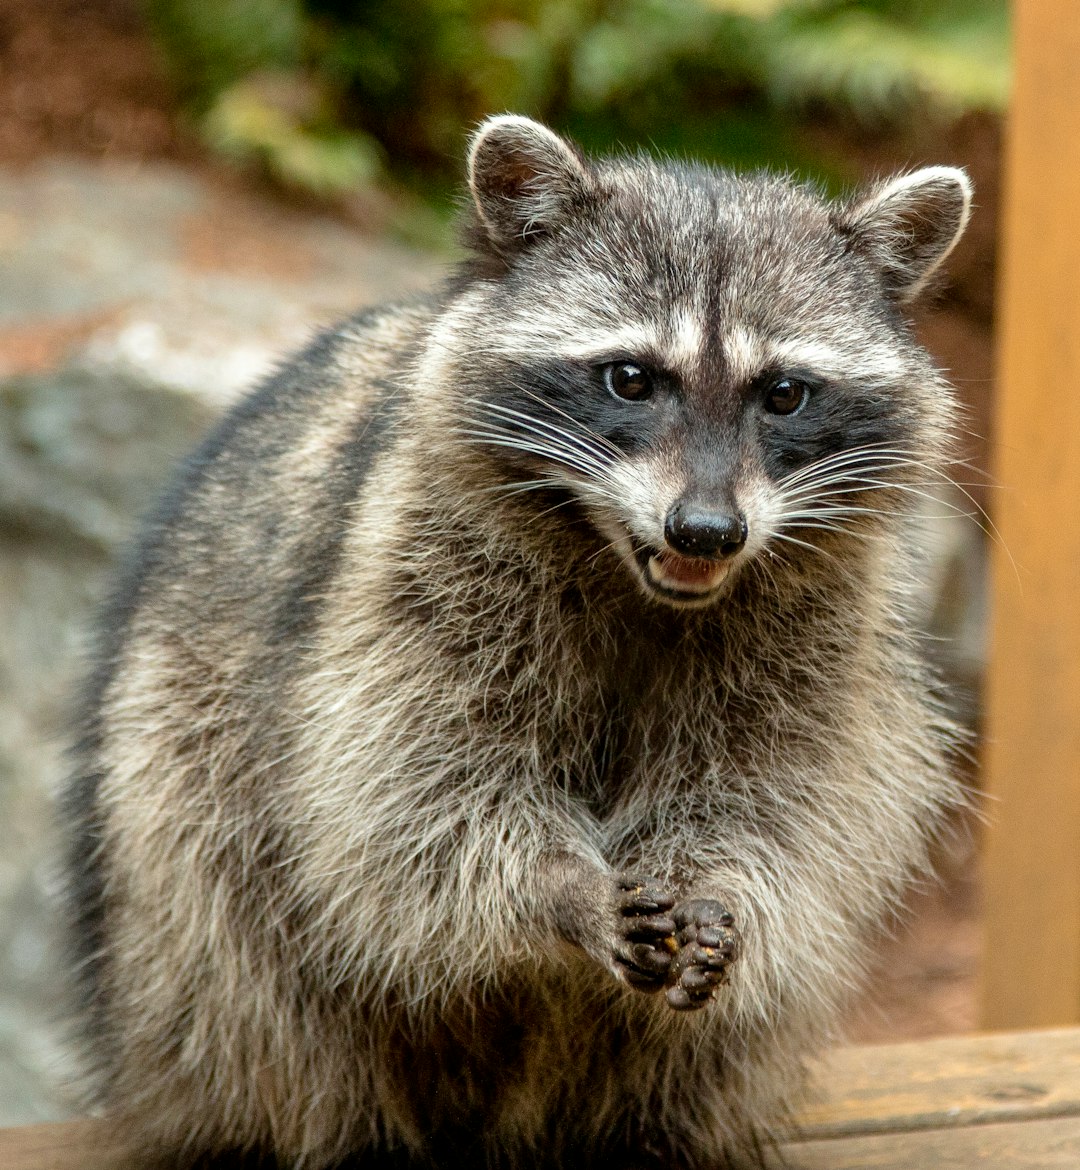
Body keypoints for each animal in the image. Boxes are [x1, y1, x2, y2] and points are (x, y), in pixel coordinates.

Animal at [65, 111, 978, 1170]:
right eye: (631, 379)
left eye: (784, 394)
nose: (708, 531)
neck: (640, 578)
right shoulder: (407, 581)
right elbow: (417, 794)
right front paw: (558, 888)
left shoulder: (818, 628)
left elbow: (772, 796)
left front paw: (718, 886)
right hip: (169, 839)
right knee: (245, 976)